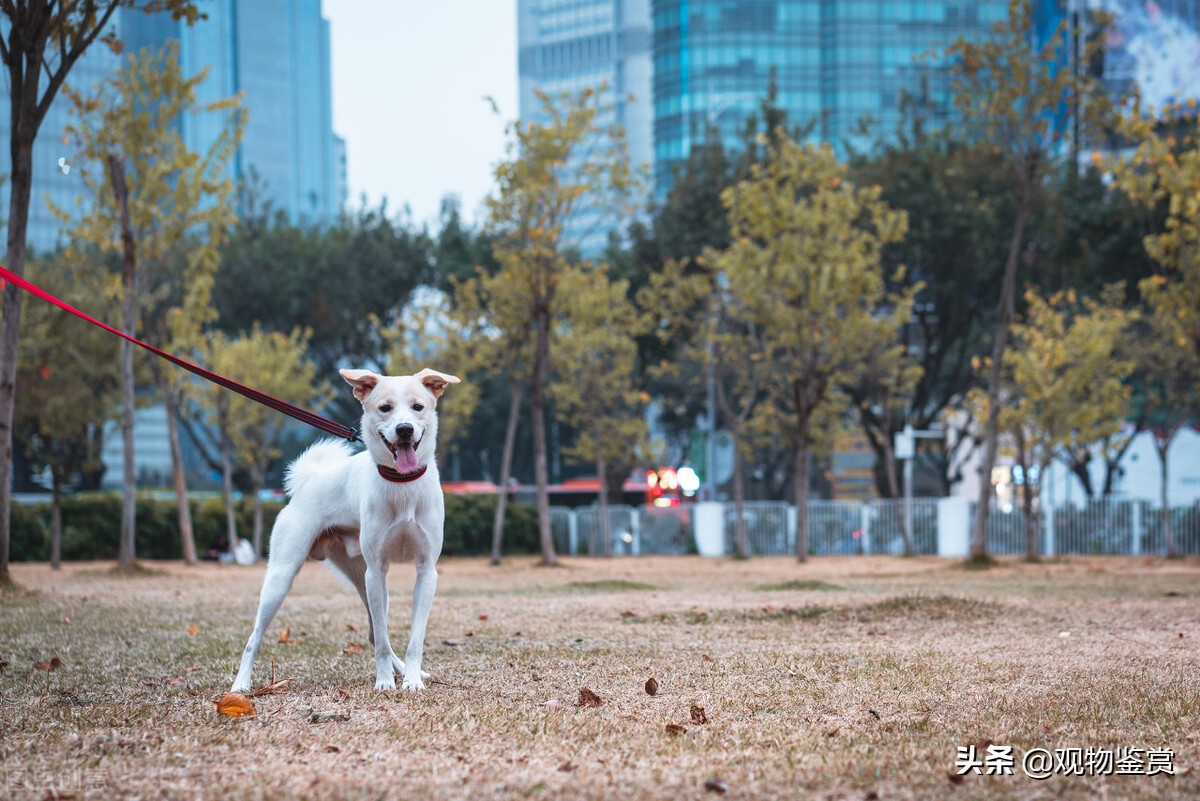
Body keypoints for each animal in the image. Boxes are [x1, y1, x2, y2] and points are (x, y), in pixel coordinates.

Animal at [229, 366, 458, 690]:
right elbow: (383, 642)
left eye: (418, 407)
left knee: (375, 633)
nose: (404, 429)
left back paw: (402, 670)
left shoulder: (426, 570)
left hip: (361, 576)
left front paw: (412, 679)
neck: (402, 483)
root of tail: (310, 480)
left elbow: (415, 638)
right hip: (285, 577)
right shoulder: (377, 570)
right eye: (385, 408)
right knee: (254, 637)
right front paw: (384, 682)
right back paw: (241, 685)